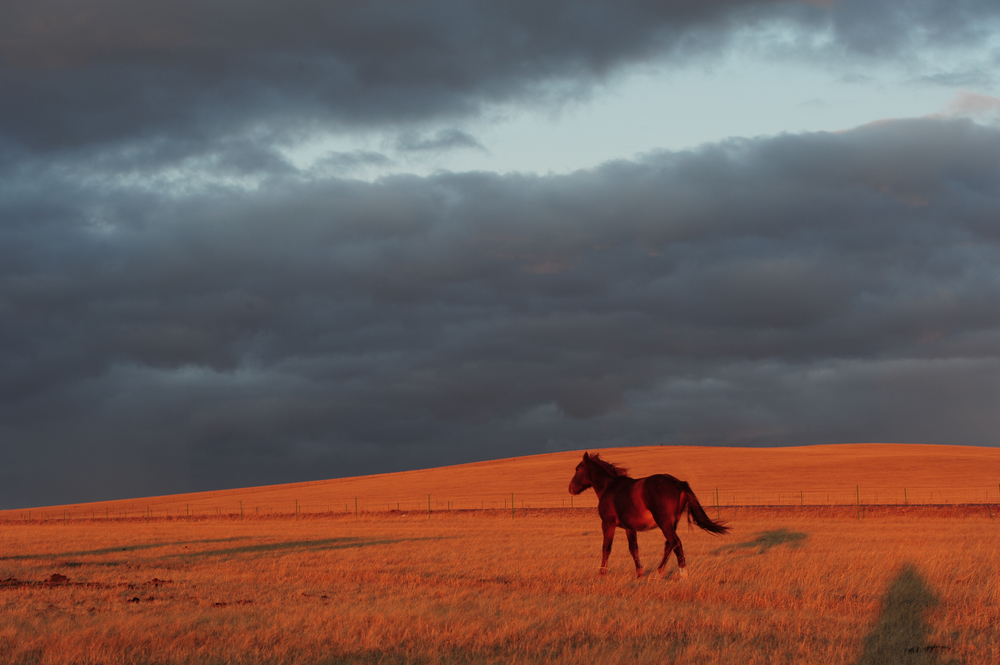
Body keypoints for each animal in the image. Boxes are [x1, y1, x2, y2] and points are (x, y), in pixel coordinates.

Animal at [568, 452, 732, 576]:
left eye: (577, 469)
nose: (570, 488)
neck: (609, 487)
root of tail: (677, 483)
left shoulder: (608, 524)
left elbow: (606, 548)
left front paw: (602, 573)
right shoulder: (629, 527)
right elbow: (633, 548)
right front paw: (639, 574)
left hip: (664, 523)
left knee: (676, 543)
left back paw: (683, 575)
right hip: (672, 523)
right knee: (669, 544)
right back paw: (658, 573)